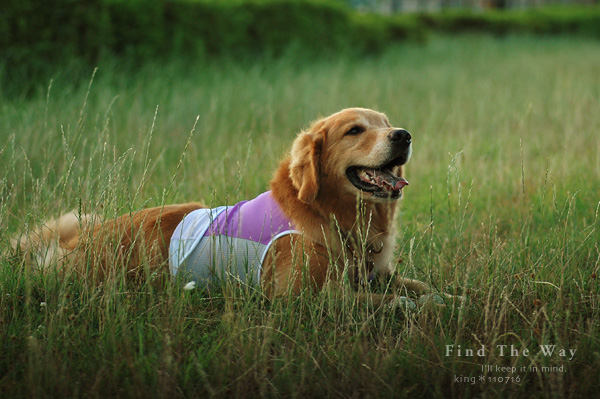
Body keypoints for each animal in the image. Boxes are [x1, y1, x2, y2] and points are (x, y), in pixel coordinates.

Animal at [11, 108, 434, 304]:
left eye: (386, 122)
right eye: (355, 130)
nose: (403, 135)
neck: (326, 214)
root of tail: (72, 244)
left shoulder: (376, 275)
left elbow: (423, 288)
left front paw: (443, 298)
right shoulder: (301, 296)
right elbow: (391, 301)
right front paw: (414, 307)